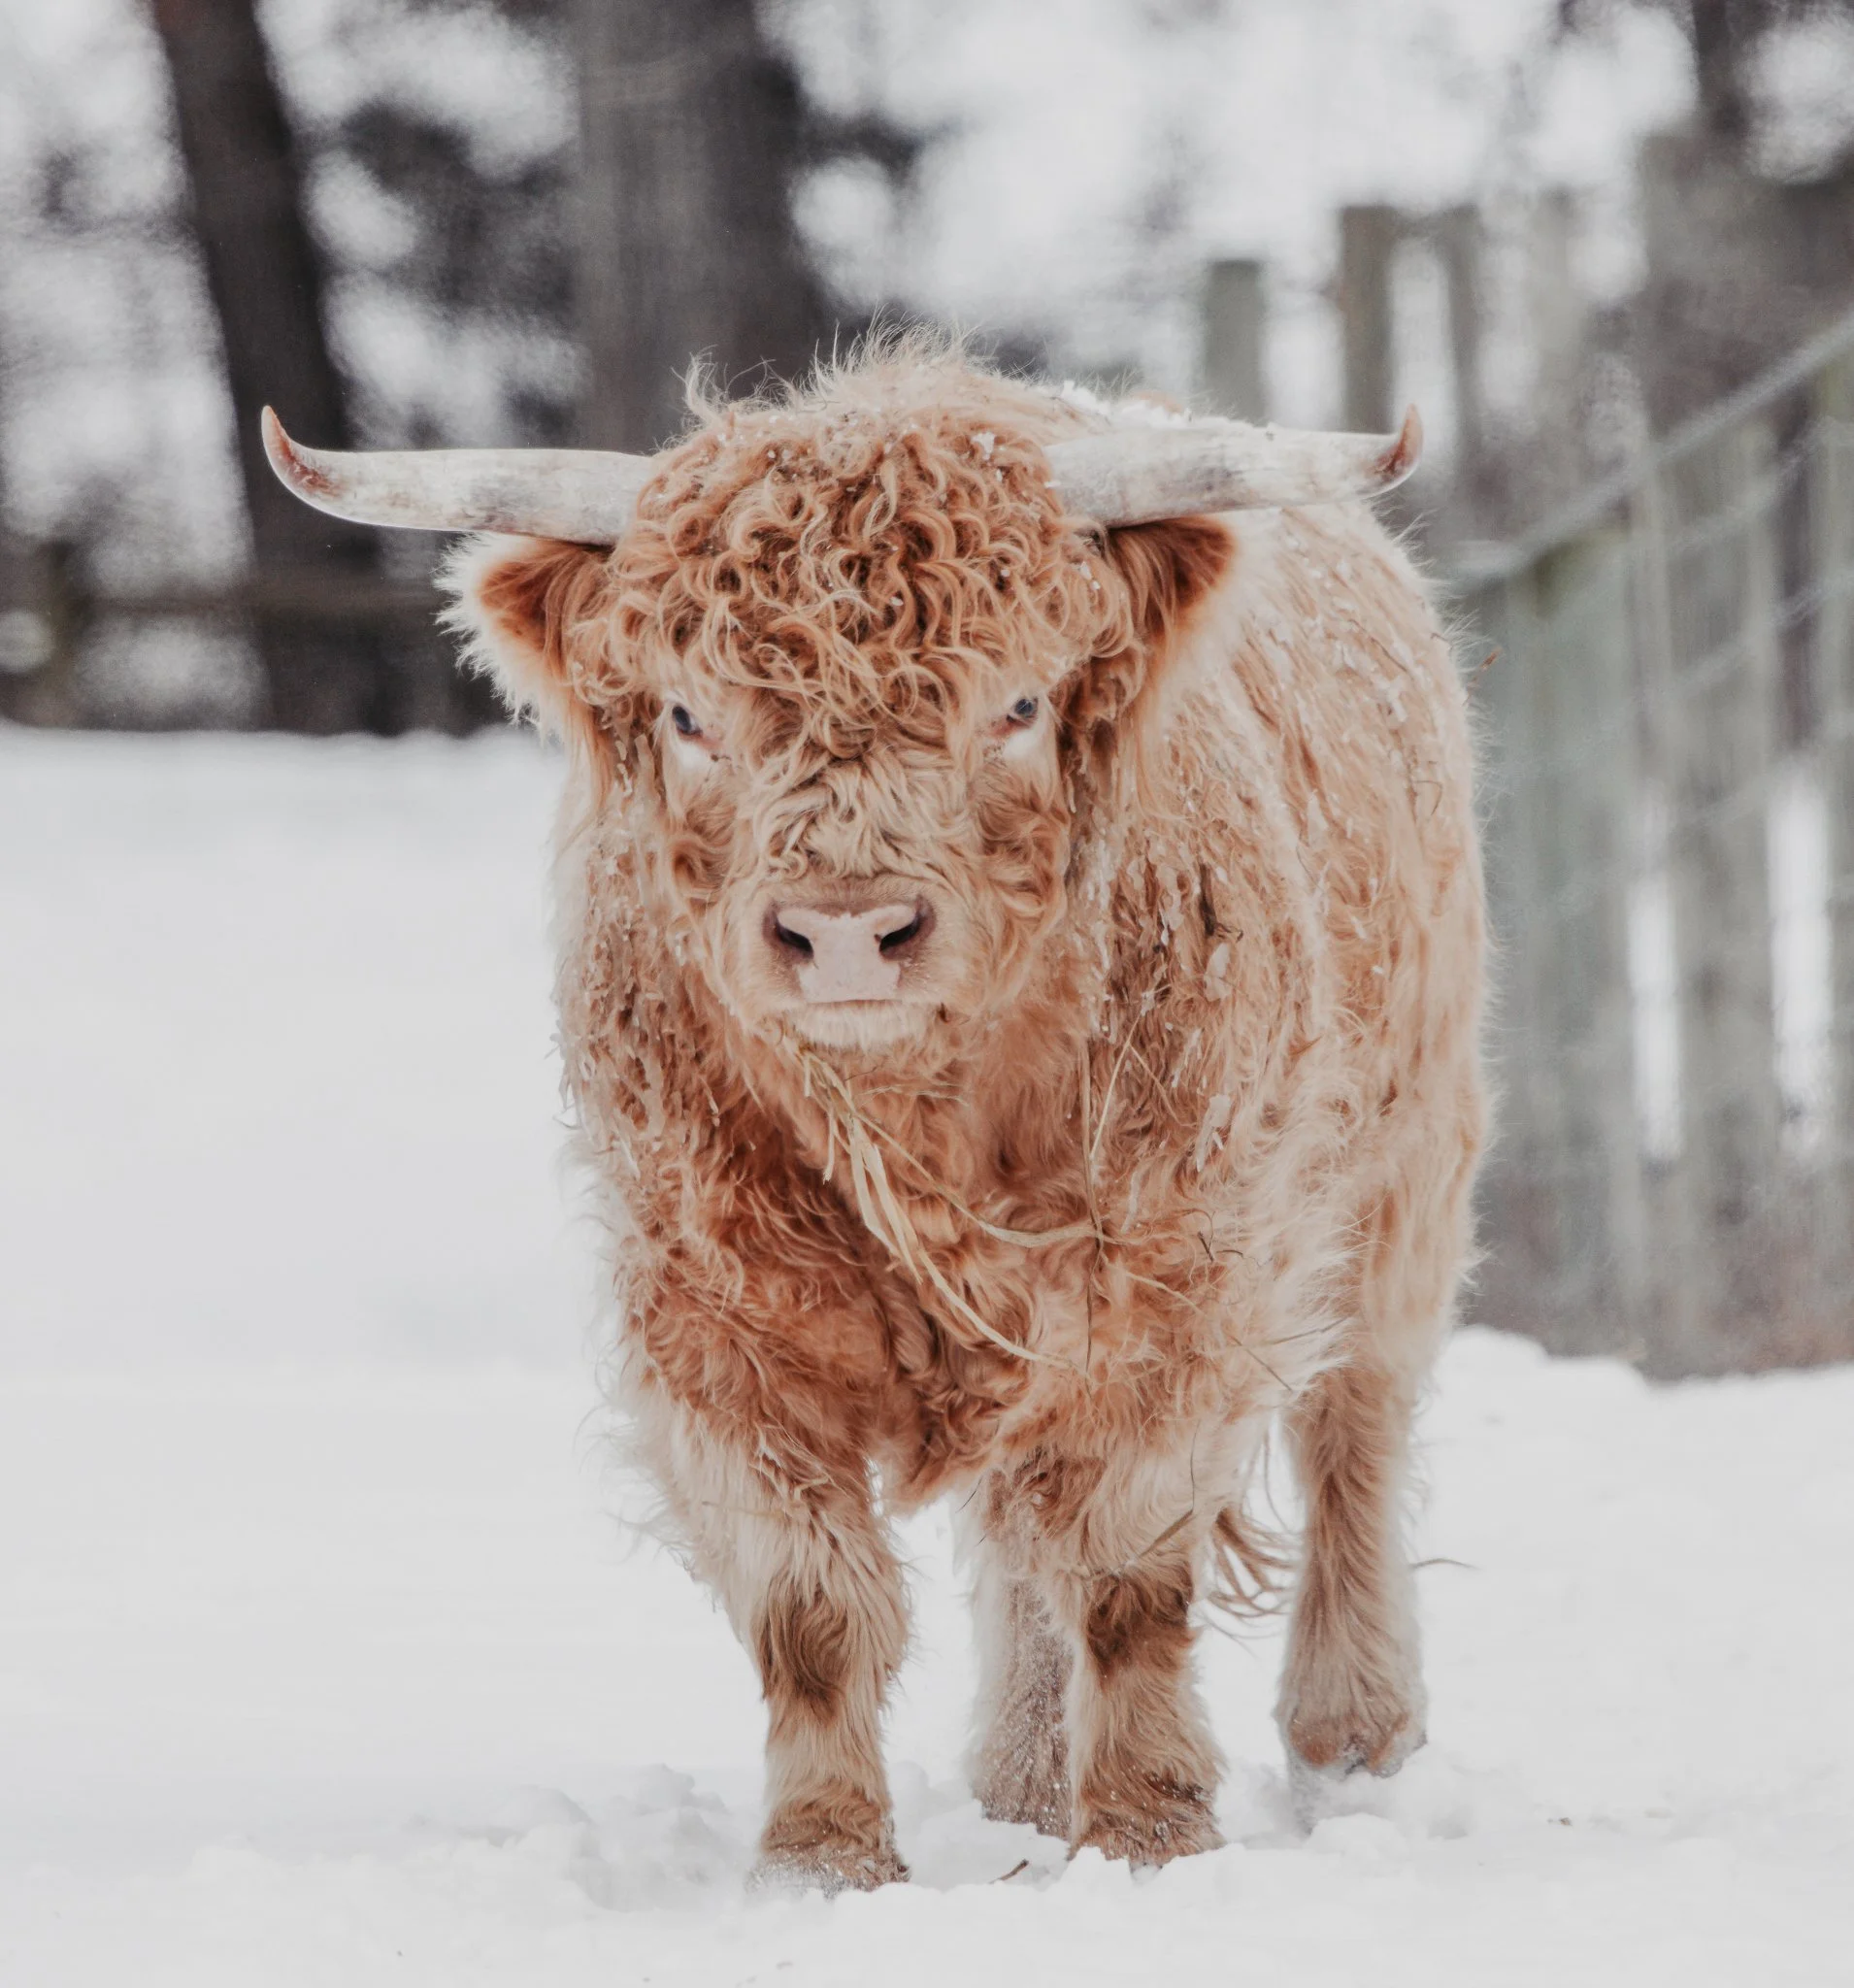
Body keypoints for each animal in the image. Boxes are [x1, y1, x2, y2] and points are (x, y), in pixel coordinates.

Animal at [264, 342, 1485, 1891]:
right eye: (688, 715)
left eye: (1015, 707)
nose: (845, 931)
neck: (922, 1124)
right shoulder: (706, 1310)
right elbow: (812, 1607)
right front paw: (824, 1858)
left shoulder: (1180, 1278)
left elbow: (1123, 1573)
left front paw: (1148, 1835)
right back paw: (1018, 1783)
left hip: (1404, 1167)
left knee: (1353, 1436)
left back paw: (1351, 1742)